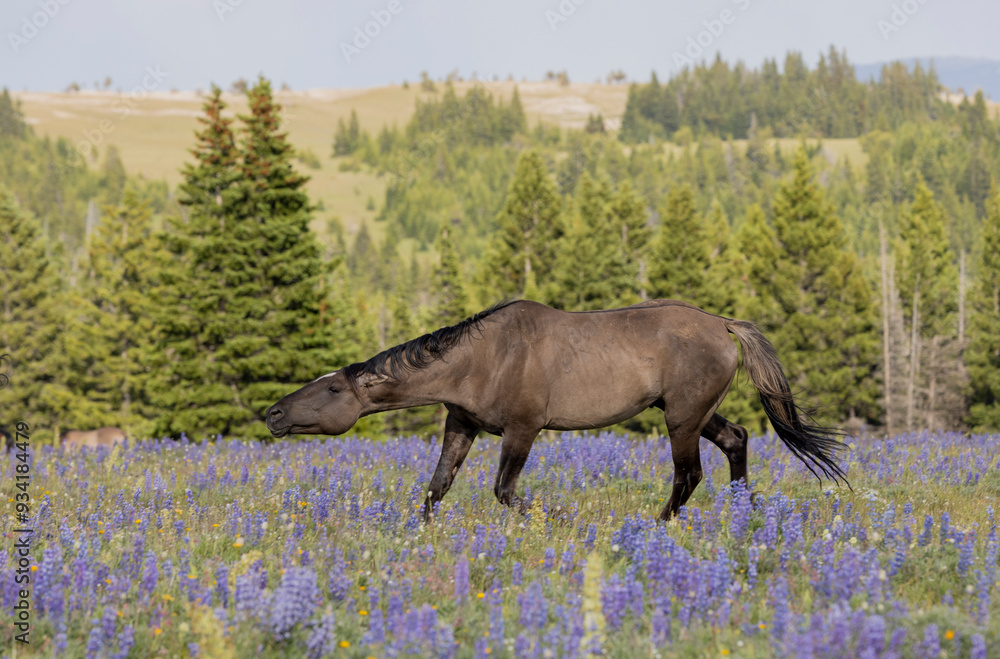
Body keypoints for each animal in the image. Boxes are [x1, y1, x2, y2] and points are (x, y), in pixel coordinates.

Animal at [264, 300, 844, 520]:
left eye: (331, 391)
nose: (273, 415)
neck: (484, 358)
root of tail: (724, 324)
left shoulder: (523, 429)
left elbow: (505, 491)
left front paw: (558, 518)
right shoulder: (463, 424)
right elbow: (436, 487)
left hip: (681, 418)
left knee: (688, 474)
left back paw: (657, 527)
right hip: (694, 414)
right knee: (736, 440)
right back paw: (745, 512)